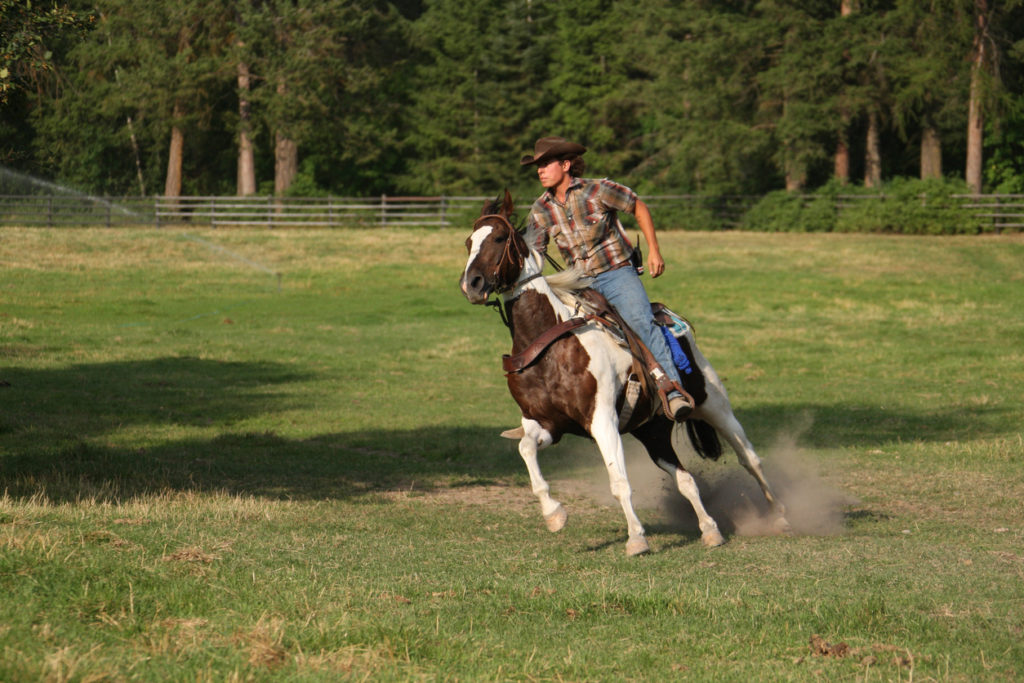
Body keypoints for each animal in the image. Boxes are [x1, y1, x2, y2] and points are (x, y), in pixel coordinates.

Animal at [460, 191, 786, 557]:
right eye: (469, 242)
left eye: (499, 238)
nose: (471, 284)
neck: (548, 343)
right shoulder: (546, 424)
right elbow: (526, 450)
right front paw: (554, 514)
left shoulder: (602, 420)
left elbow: (619, 482)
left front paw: (636, 539)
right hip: (652, 431)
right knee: (686, 479)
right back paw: (711, 530)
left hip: (713, 404)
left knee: (750, 459)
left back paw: (779, 517)